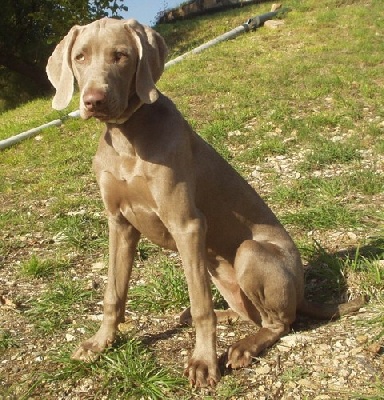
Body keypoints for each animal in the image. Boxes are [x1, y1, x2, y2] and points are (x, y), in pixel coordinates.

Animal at [45, 18, 364, 388]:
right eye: (80, 57)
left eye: (121, 56)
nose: (93, 100)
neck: (128, 137)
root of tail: (302, 294)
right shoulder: (119, 223)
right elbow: (114, 293)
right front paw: (100, 344)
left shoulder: (187, 225)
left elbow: (201, 306)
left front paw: (203, 362)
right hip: (217, 271)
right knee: (249, 313)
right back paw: (224, 318)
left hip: (249, 253)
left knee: (279, 322)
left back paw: (242, 347)